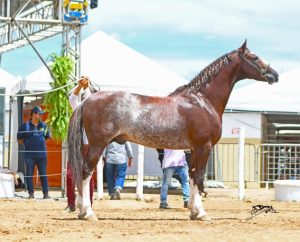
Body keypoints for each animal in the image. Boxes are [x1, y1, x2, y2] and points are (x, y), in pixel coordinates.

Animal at [68, 40, 278, 220]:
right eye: (254, 57)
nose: (274, 74)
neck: (202, 101)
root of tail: (87, 100)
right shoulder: (204, 147)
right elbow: (199, 177)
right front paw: (202, 213)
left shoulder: (193, 150)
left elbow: (192, 177)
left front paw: (194, 211)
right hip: (98, 145)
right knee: (86, 172)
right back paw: (87, 213)